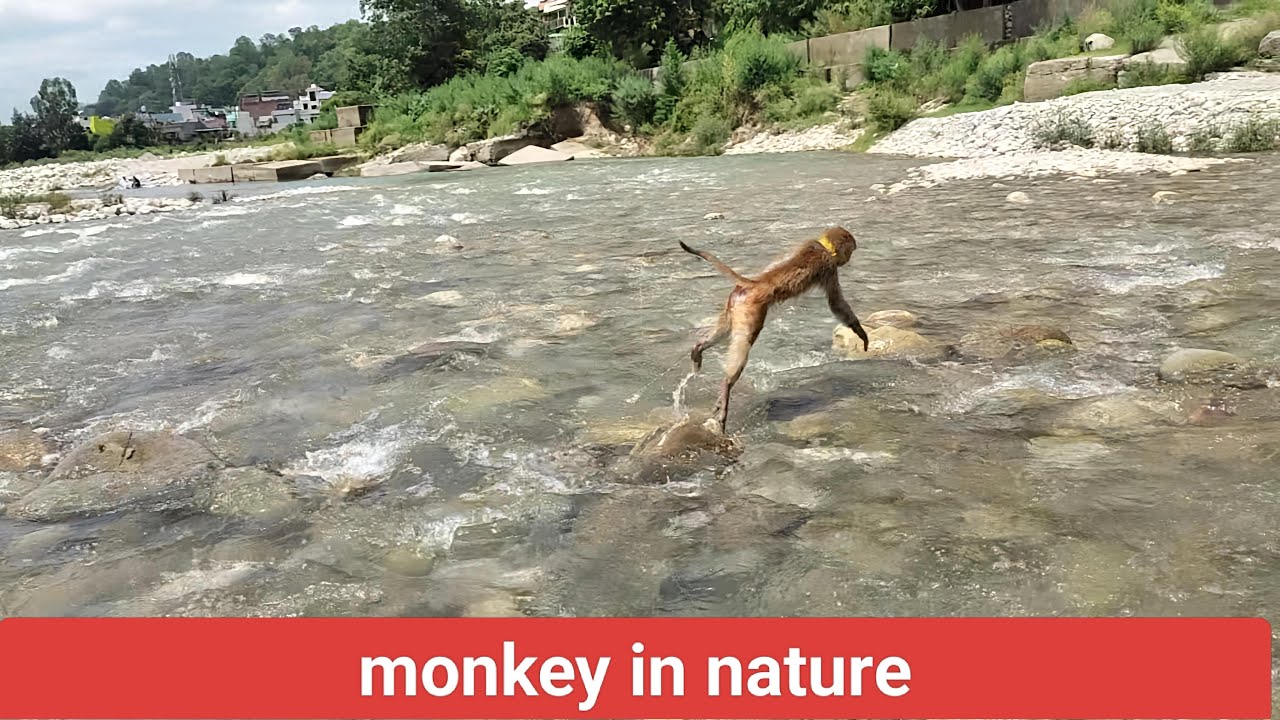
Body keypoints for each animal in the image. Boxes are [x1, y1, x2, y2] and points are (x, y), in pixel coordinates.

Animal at [680, 226, 869, 433]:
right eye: (849, 252)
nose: (849, 259)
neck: (823, 247)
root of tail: (755, 284)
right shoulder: (829, 267)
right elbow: (836, 303)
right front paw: (860, 332)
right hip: (751, 310)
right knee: (743, 344)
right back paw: (726, 387)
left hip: (734, 303)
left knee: (724, 331)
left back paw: (698, 349)